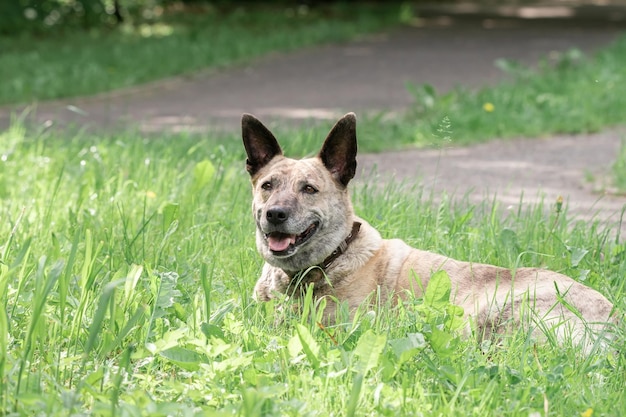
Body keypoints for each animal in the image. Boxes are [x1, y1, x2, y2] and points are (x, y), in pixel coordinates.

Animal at [240, 112, 616, 346]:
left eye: (309, 189)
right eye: (268, 185)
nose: (275, 214)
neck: (332, 257)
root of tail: (614, 325)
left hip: (495, 313)